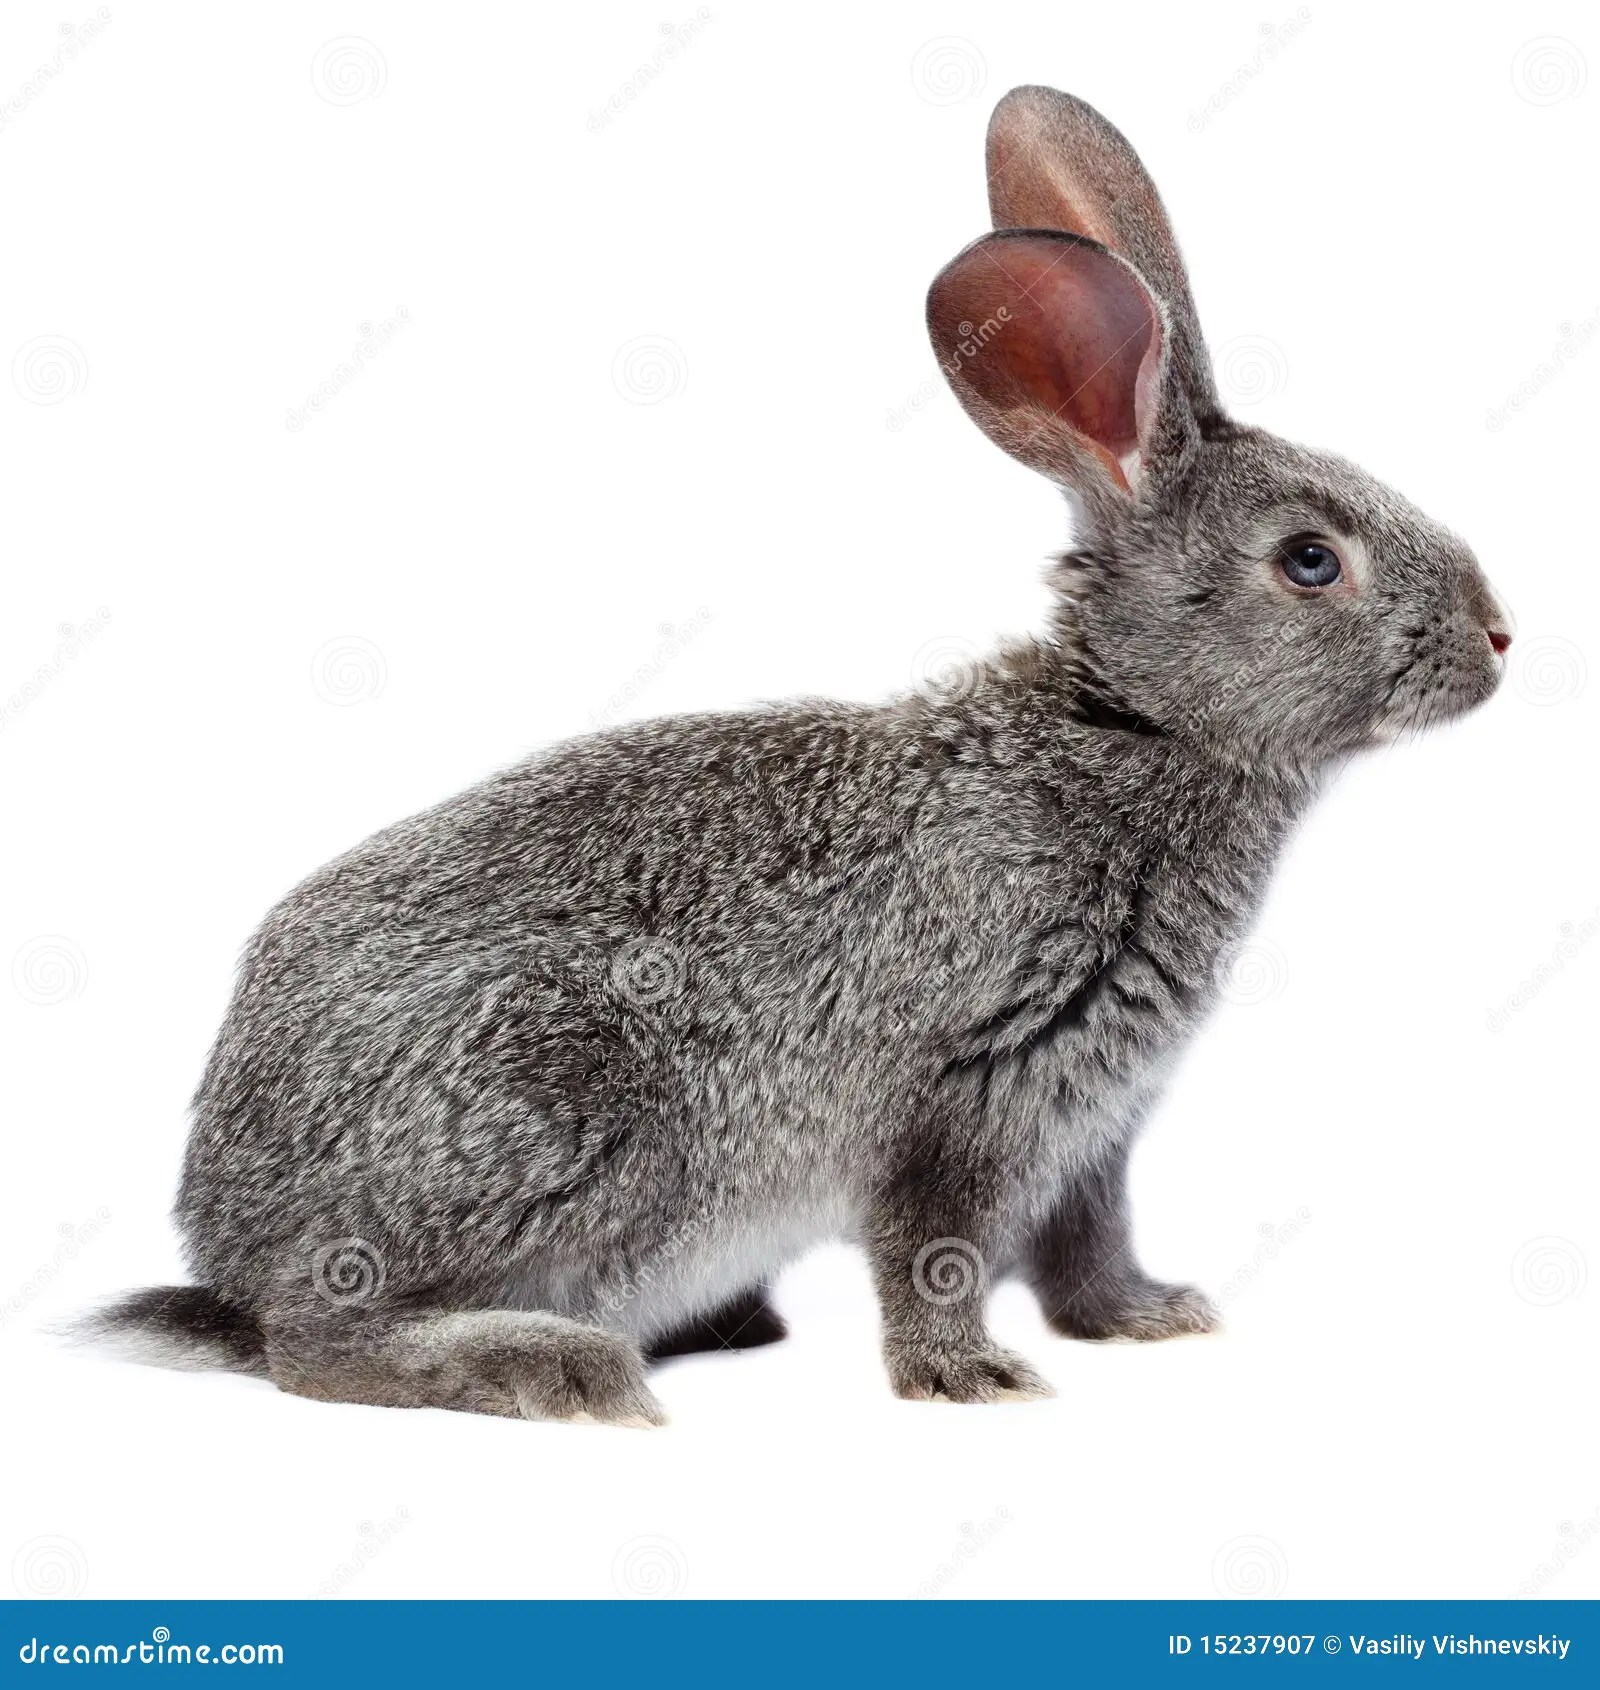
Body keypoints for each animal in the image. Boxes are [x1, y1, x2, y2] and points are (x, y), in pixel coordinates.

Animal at [87, 86, 1512, 1424]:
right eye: (1310, 560)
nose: (1500, 636)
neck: (1132, 725)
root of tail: (226, 1242)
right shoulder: (963, 1093)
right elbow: (935, 1249)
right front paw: (969, 1379)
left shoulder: (1093, 1123)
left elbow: (1085, 1246)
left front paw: (1149, 1320)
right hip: (556, 1095)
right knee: (315, 1344)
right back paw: (557, 1368)